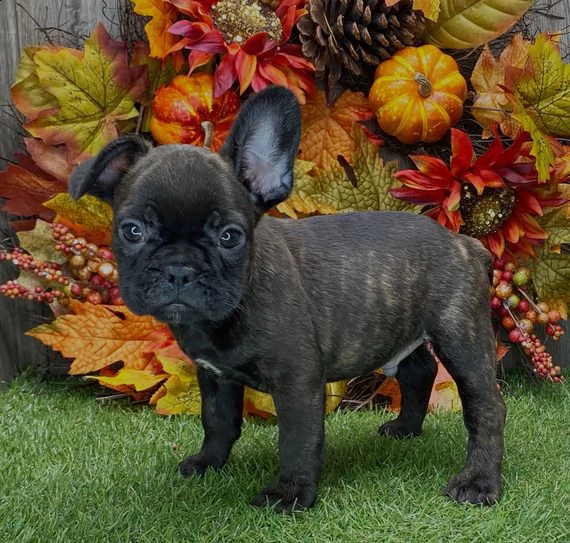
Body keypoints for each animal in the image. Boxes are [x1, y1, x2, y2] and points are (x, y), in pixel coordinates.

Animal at [69, 86, 504, 516]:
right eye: (132, 231)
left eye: (230, 236)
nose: (180, 269)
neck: (226, 314)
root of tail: (462, 242)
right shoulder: (214, 375)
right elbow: (217, 420)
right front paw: (209, 462)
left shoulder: (297, 380)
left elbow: (297, 438)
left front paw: (291, 492)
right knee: (418, 371)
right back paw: (404, 429)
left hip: (462, 337)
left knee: (486, 407)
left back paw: (478, 482)